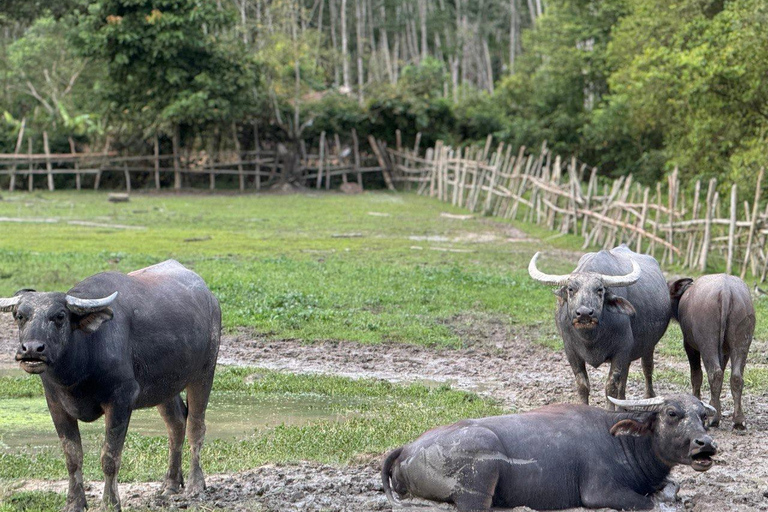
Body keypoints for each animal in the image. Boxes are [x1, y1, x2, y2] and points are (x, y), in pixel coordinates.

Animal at [0, 260, 222, 512]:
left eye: (59, 316)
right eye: (20, 315)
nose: (31, 350)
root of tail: (210, 298)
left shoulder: (121, 400)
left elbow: (110, 457)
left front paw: (110, 502)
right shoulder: (55, 404)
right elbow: (72, 456)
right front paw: (74, 502)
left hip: (204, 373)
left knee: (196, 425)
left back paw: (195, 484)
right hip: (165, 387)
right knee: (176, 425)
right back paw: (171, 484)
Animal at [384, 394, 720, 510]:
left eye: (703, 415)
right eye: (672, 413)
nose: (705, 444)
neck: (621, 441)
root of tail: (407, 448)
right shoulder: (600, 493)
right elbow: (650, 504)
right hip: (478, 482)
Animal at [528, 244, 672, 408]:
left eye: (600, 289)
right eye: (571, 289)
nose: (584, 313)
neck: (591, 338)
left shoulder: (621, 350)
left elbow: (611, 386)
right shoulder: (571, 351)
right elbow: (583, 385)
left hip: (649, 346)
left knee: (647, 368)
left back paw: (648, 396)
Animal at [664, 274, 756, 430]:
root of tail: (726, 291)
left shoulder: (689, 345)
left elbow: (696, 376)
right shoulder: (725, 351)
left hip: (708, 342)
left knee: (715, 374)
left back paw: (713, 419)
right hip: (742, 340)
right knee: (736, 377)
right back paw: (738, 420)